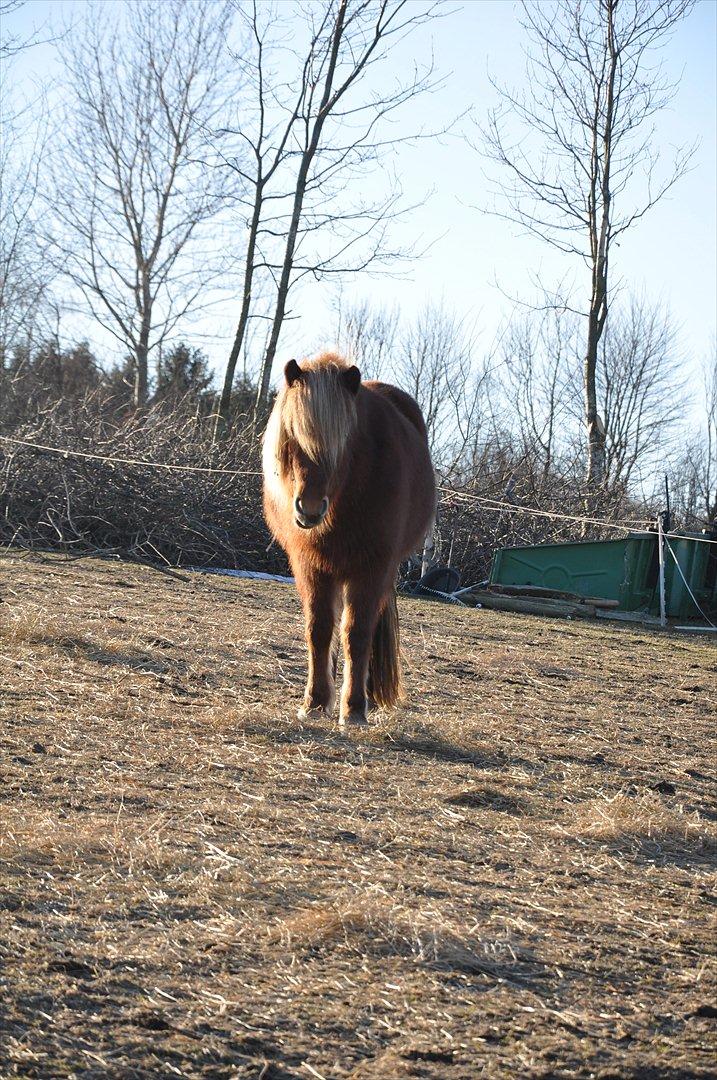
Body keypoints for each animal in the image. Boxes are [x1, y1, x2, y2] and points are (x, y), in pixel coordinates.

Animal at [262, 352, 436, 727]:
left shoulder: (372, 568)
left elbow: (356, 633)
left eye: (343, 444)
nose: (309, 509)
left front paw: (354, 708)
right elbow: (319, 629)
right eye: (292, 436)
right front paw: (315, 701)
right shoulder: (311, 566)